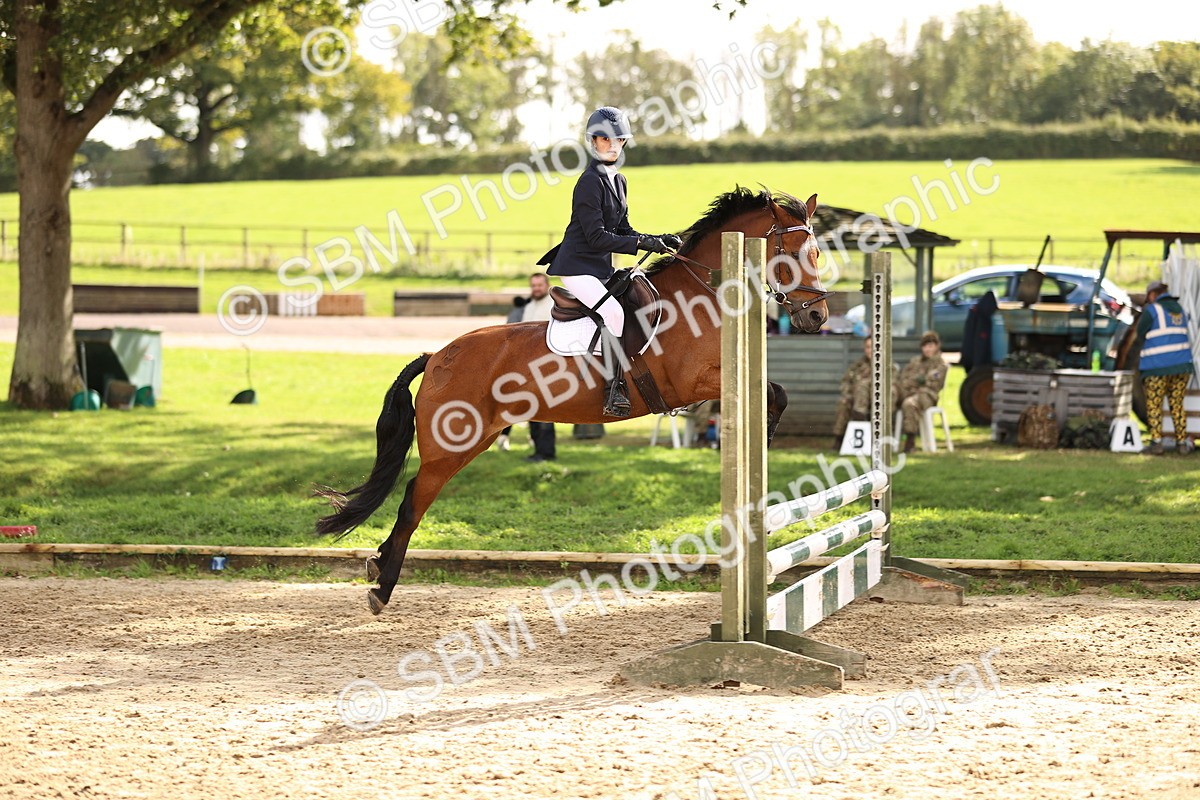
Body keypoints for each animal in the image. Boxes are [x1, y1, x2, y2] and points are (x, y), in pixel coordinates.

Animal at [315, 186, 830, 614]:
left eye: (818, 252)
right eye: (793, 255)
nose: (818, 316)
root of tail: (437, 354)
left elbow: (777, 391)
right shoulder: (693, 382)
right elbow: (772, 392)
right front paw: (764, 437)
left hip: (473, 441)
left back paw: (379, 568)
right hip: (451, 448)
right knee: (411, 503)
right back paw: (382, 587)